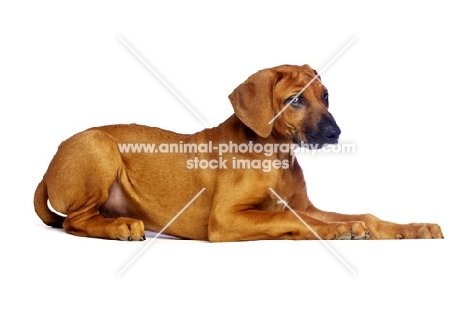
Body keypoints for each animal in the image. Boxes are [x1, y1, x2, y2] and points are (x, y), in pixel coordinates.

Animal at [34, 64, 444, 243]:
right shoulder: (225, 219)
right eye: (295, 100)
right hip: (98, 146)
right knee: (73, 222)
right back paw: (119, 227)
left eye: (326, 96)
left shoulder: (304, 205)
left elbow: (365, 215)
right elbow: (289, 218)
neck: (276, 154)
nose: (334, 133)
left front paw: (412, 228)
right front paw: (337, 229)